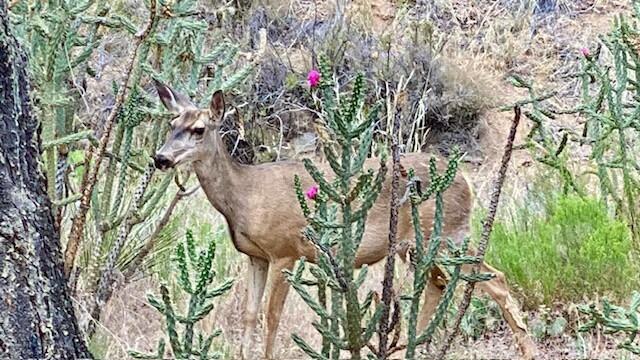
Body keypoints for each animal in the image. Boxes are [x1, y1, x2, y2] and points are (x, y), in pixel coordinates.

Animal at [152, 81, 536, 360]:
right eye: (171, 125)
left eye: (199, 129)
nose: (160, 158)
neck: (244, 196)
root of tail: (467, 182)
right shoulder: (255, 256)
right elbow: (248, 314)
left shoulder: (284, 250)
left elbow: (271, 318)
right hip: (421, 247)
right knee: (437, 285)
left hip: (447, 236)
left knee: (497, 280)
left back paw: (528, 350)